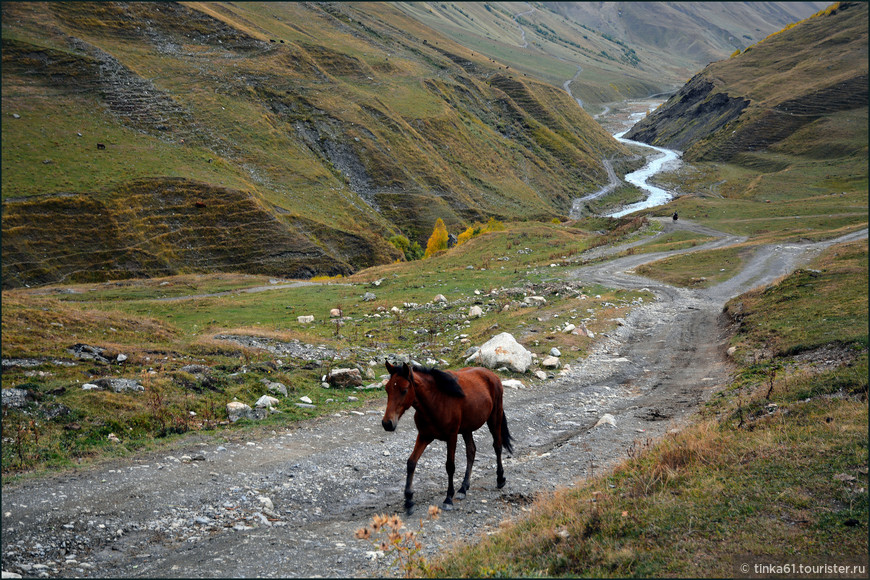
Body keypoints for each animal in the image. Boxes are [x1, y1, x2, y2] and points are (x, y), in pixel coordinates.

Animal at [380, 360, 510, 516]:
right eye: (387, 389)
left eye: (404, 390)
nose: (387, 423)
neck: (436, 401)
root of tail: (492, 375)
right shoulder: (424, 436)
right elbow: (411, 463)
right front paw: (409, 500)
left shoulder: (451, 437)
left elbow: (450, 466)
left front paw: (448, 498)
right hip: (467, 428)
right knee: (471, 451)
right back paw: (463, 488)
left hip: (494, 418)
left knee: (497, 446)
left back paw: (500, 479)